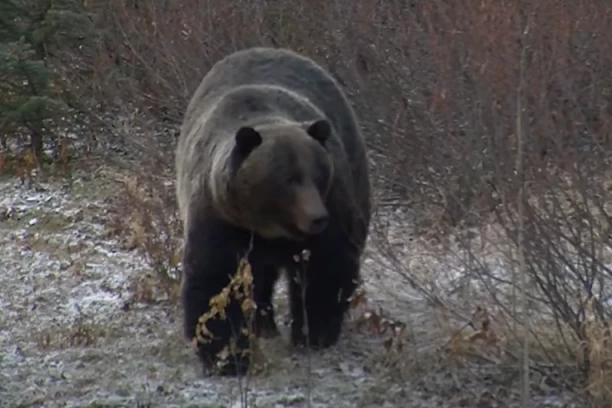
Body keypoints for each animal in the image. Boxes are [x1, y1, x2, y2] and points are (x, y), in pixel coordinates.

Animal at [175, 47, 370, 376]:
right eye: (287, 179)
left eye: (318, 174)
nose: (317, 217)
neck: (269, 224)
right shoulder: (218, 217)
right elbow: (216, 280)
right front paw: (228, 356)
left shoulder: (333, 201)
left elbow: (326, 266)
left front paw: (314, 334)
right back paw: (263, 325)